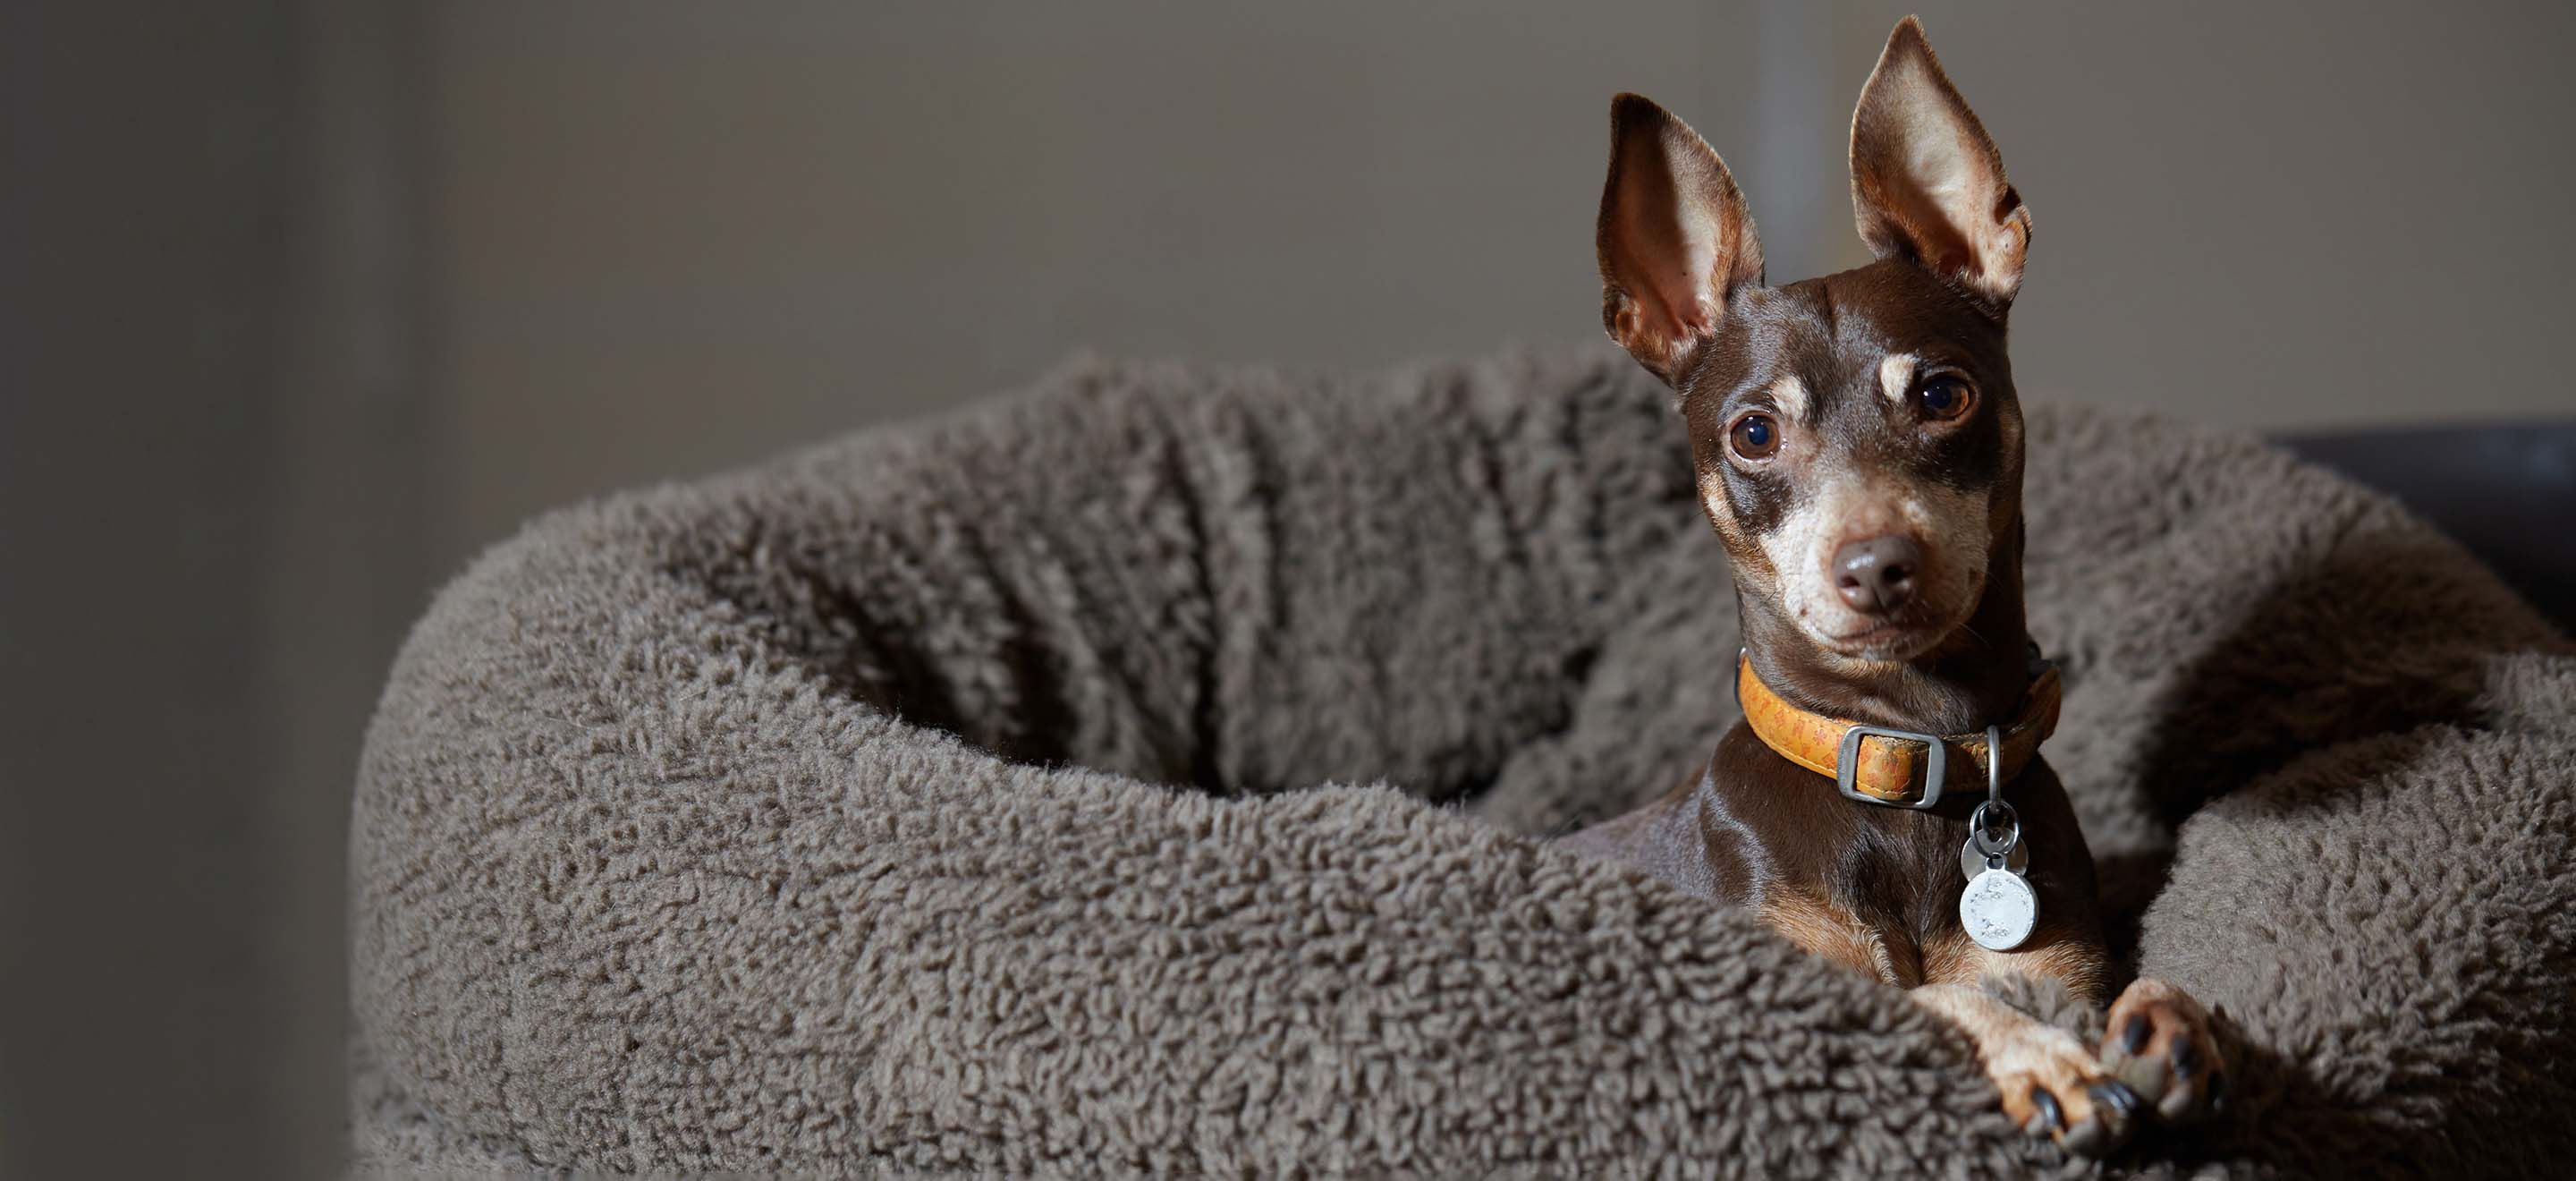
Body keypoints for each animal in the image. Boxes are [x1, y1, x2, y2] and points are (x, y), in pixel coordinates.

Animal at [1555, 16, 2225, 1160]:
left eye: (1944, 395)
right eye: (1753, 432)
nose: (1876, 566)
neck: (1907, 759)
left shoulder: (2056, 968)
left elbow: (2117, 987)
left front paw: (2169, 1020)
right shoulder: (1776, 981)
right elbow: (1933, 1000)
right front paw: (2041, 1057)